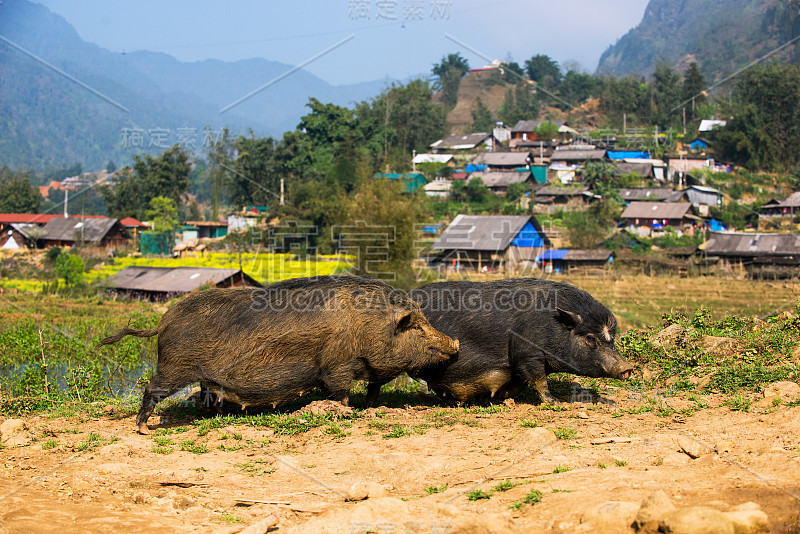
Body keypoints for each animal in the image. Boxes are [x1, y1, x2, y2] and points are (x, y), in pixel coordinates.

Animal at [100, 276, 460, 436]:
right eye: (419, 328)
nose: (455, 344)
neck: (369, 327)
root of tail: (163, 321)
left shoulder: (369, 369)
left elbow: (373, 389)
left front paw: (372, 407)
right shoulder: (337, 366)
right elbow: (340, 393)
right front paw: (347, 411)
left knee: (205, 394)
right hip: (175, 367)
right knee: (151, 388)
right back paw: (143, 429)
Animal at [410, 280, 636, 406]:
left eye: (611, 338)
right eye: (590, 338)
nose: (627, 368)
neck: (551, 326)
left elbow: (518, 383)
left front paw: (496, 397)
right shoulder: (527, 352)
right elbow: (538, 379)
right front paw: (555, 403)